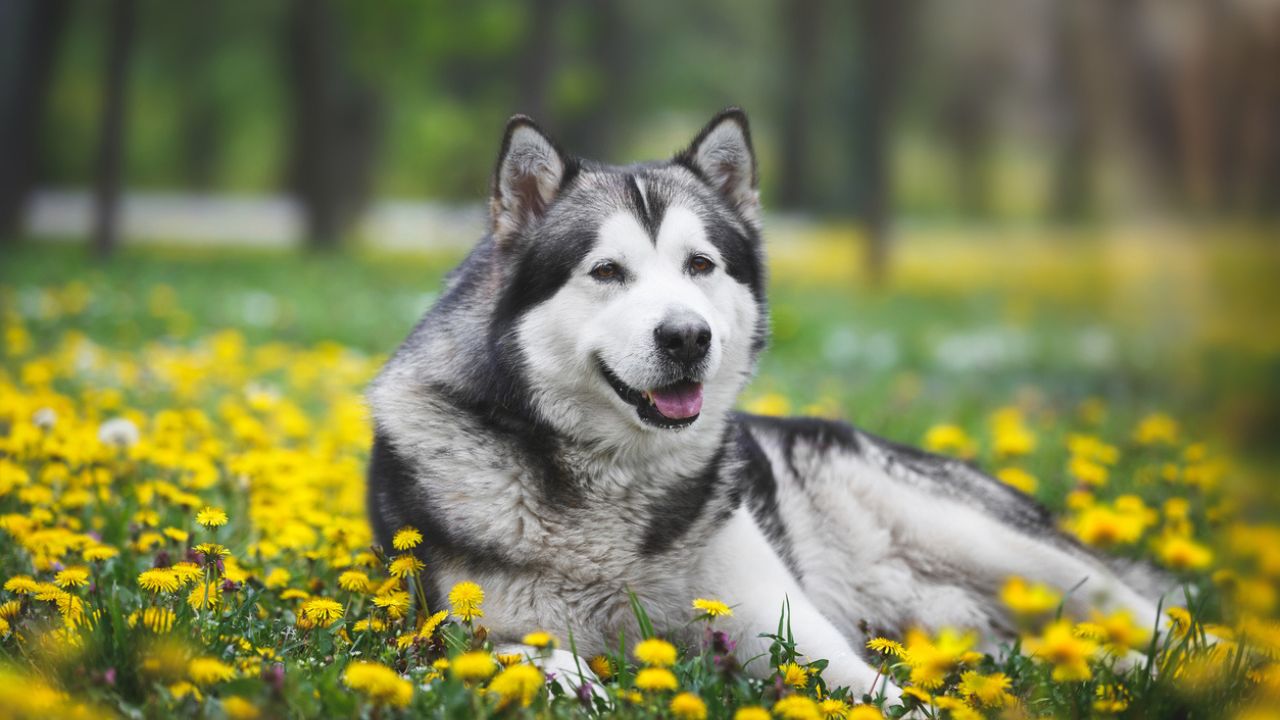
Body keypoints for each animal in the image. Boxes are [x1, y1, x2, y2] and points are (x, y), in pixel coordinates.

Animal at [363, 109, 1172, 696]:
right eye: (607, 271)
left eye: (700, 265)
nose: (687, 337)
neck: (618, 483)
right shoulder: (476, 636)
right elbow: (552, 665)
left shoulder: (782, 628)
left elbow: (880, 692)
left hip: (998, 549)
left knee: (1159, 614)